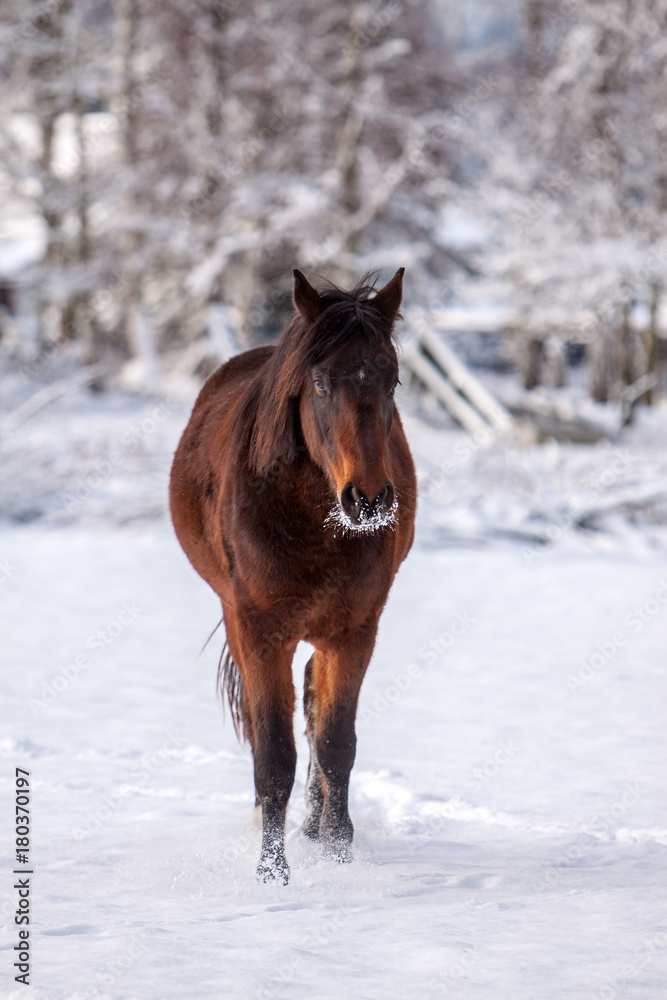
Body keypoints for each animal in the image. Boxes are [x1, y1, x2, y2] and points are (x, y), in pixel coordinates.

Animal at [170, 268, 414, 884]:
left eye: (393, 381)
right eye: (321, 383)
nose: (368, 500)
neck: (312, 524)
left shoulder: (354, 631)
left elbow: (334, 745)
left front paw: (338, 857)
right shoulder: (259, 632)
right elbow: (275, 755)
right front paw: (272, 877)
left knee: (311, 702)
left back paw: (313, 826)